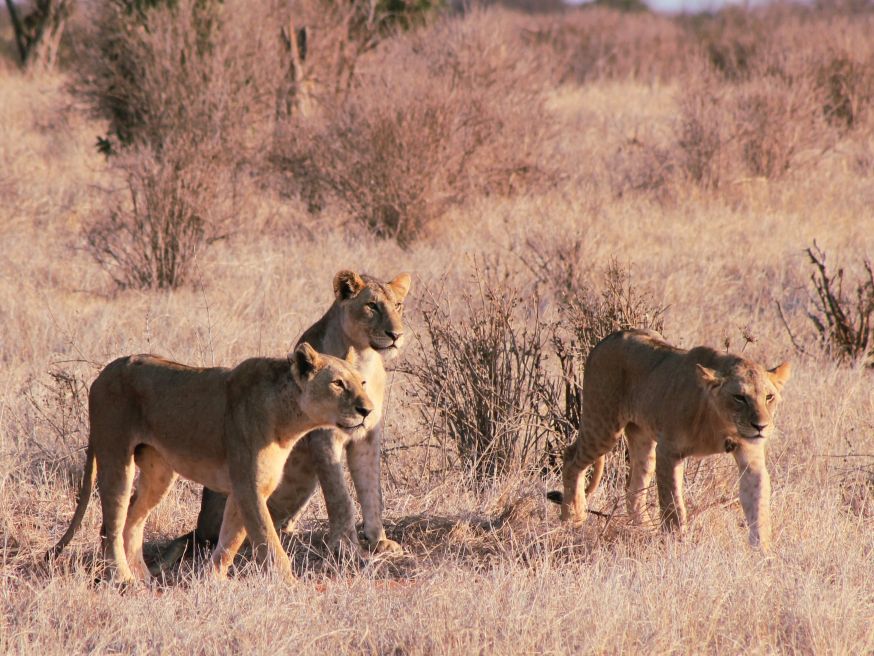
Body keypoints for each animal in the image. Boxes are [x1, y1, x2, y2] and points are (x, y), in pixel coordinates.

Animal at [48, 340, 372, 580]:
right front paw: (292, 590)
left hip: (159, 472)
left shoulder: (248, 488)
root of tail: (104, 372)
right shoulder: (248, 486)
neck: (289, 418)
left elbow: (230, 540)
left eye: (362, 381)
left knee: (132, 520)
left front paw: (211, 582)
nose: (367, 409)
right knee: (112, 524)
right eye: (338, 384)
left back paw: (144, 579)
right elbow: (269, 544)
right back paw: (124, 579)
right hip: (115, 455)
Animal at [156, 268, 408, 568]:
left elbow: (372, 491)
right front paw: (347, 548)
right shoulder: (323, 437)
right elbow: (340, 497)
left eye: (398, 305)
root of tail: (197, 529)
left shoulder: (367, 436)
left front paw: (379, 540)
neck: (363, 356)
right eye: (371, 306)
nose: (396, 335)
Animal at [552, 328, 792, 548]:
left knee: (633, 493)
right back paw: (572, 519)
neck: (721, 424)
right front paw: (677, 545)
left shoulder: (750, 456)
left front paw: (763, 553)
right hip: (603, 426)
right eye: (739, 397)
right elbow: (673, 505)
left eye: (769, 397)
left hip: (642, 439)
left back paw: (644, 530)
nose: (761, 426)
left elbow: (758, 505)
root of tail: (608, 338)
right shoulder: (668, 451)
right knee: (571, 459)